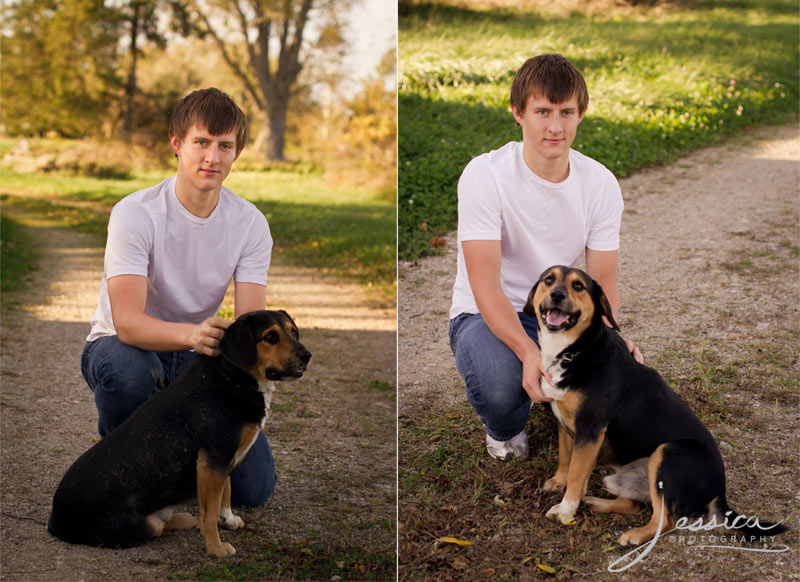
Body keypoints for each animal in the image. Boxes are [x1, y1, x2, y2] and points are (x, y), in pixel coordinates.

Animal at [46, 312, 310, 560]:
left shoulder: (221, 460)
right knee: (158, 526)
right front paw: (215, 548)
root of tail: (55, 520)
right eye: (270, 337)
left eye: (293, 332)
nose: (307, 355)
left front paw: (228, 518)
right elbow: (209, 514)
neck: (231, 377)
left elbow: (226, 492)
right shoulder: (212, 460)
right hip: (139, 525)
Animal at [520, 266, 788, 548]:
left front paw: (565, 509)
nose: (557, 294)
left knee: (666, 521)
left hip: (667, 453)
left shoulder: (590, 429)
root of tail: (720, 491)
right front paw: (558, 483)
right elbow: (566, 459)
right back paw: (594, 502)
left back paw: (635, 535)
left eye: (578, 286)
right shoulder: (565, 423)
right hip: (627, 476)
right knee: (633, 505)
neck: (575, 351)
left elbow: (575, 473)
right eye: (549, 279)